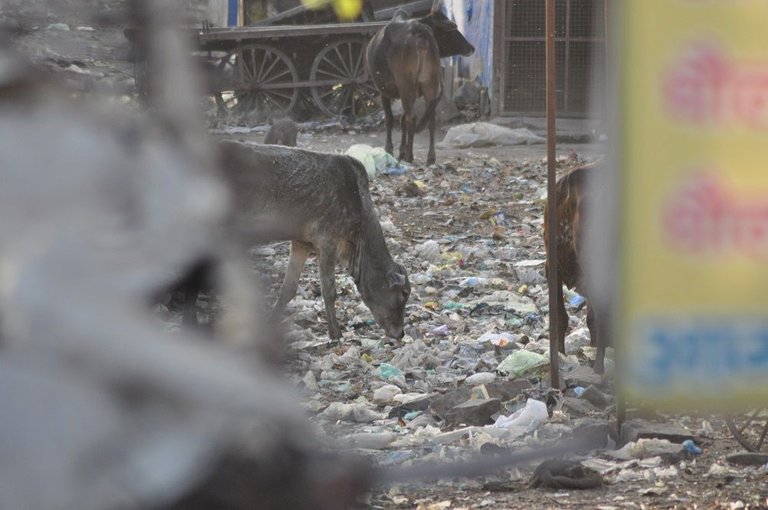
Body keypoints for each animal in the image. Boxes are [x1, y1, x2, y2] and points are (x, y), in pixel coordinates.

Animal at [185, 141, 412, 340]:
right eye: (404, 293)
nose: (400, 333)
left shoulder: (302, 243)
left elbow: (288, 288)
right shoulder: (328, 239)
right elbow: (329, 290)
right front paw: (335, 333)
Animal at [366, 2, 474, 165]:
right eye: (451, 30)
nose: (471, 48)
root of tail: (422, 34)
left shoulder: (384, 90)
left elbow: (390, 119)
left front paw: (391, 149)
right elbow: (401, 120)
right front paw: (400, 151)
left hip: (406, 85)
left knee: (411, 118)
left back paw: (410, 155)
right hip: (430, 84)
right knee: (430, 120)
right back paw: (430, 157)